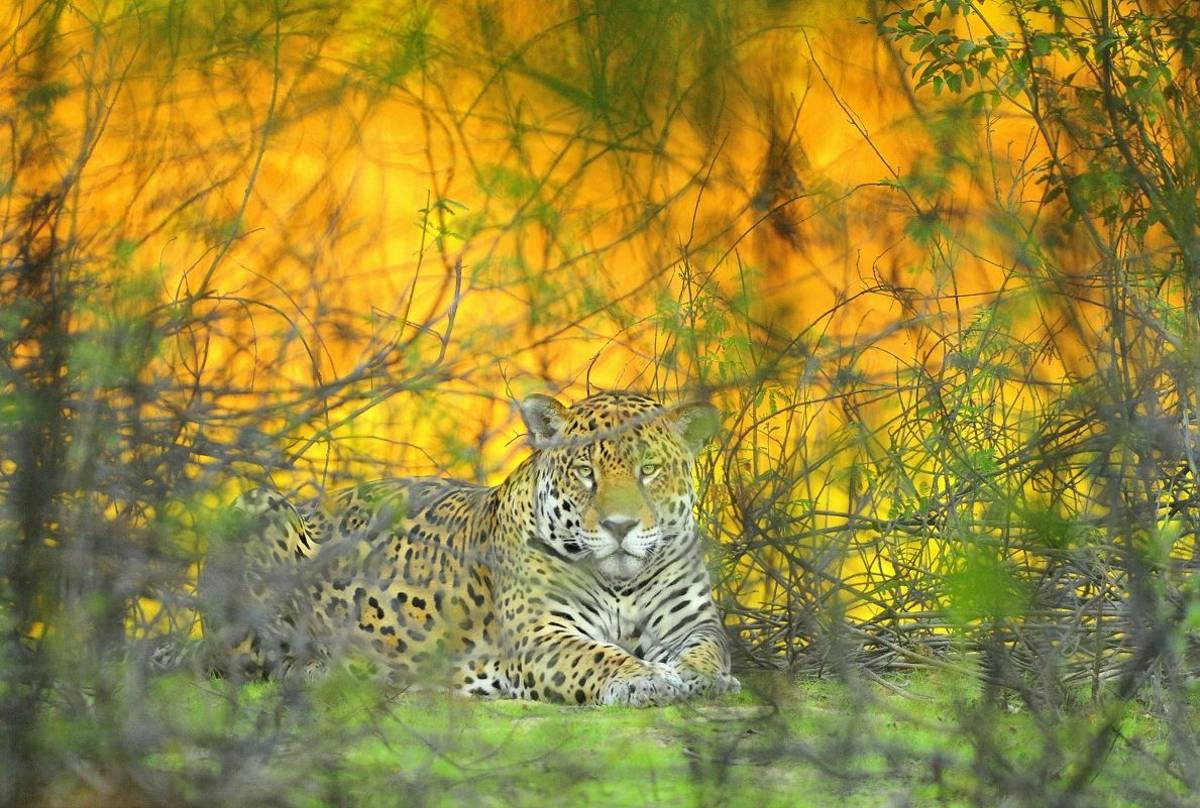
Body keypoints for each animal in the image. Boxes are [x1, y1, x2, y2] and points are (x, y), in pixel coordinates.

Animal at [200, 391, 740, 706]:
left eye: (649, 470)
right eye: (586, 472)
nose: (619, 526)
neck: (621, 582)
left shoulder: (693, 623)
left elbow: (708, 650)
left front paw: (702, 678)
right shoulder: (542, 634)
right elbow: (598, 656)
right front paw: (647, 679)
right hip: (258, 505)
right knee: (252, 660)